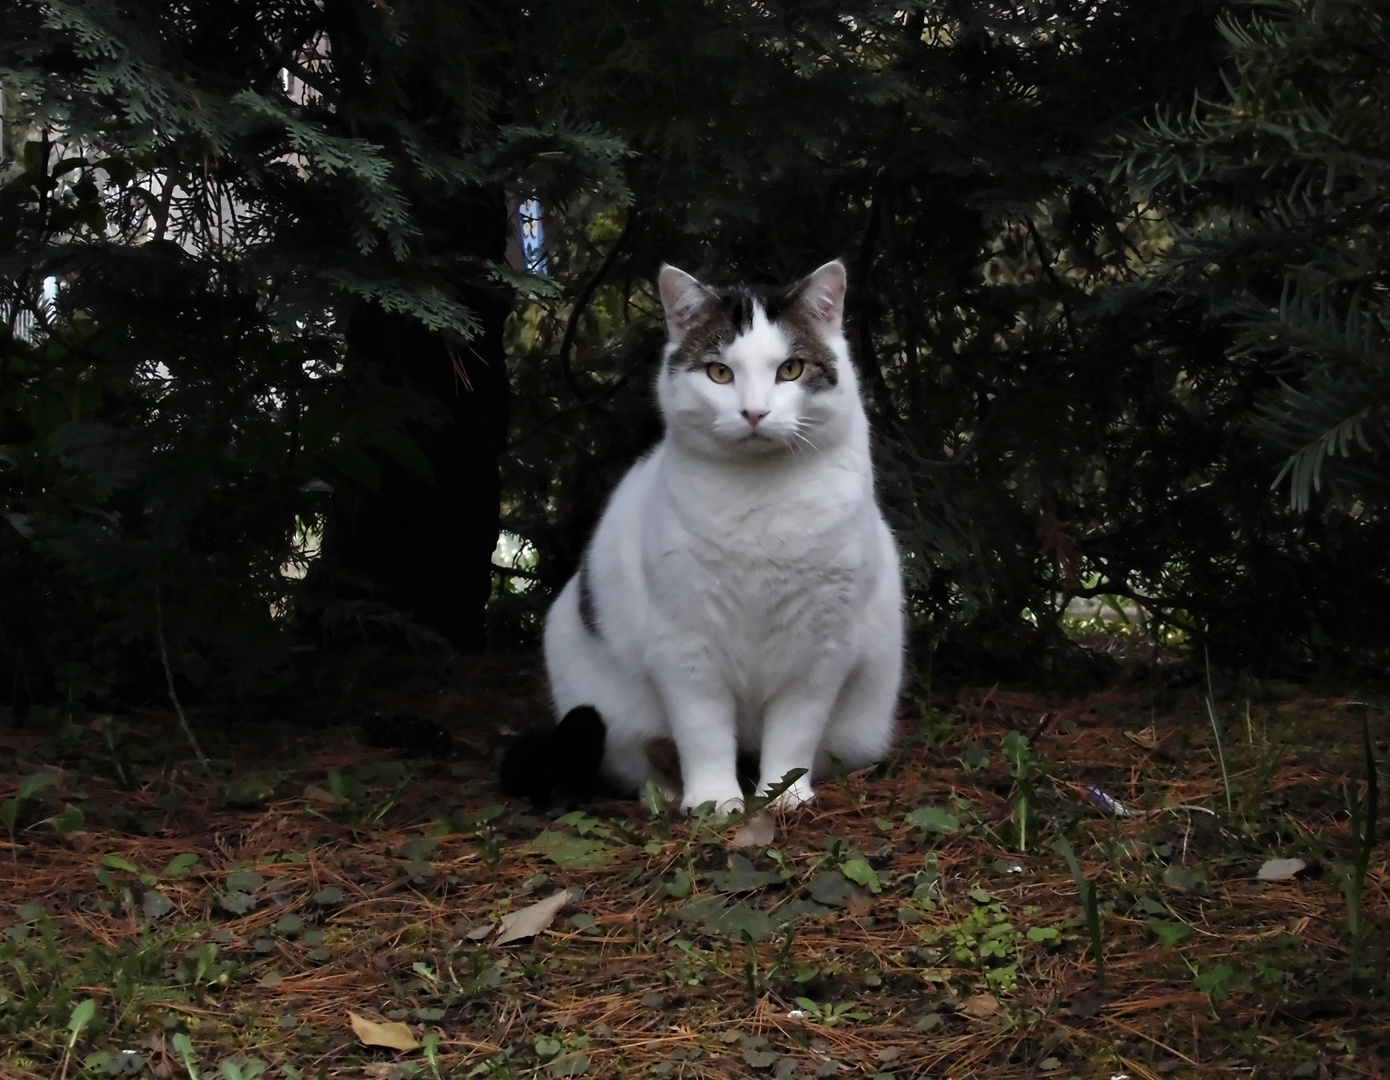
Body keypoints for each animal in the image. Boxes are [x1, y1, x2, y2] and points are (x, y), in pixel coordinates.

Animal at [505, 258, 906, 811]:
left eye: (790, 369)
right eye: (720, 373)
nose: (755, 412)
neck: (761, 499)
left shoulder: (821, 646)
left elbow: (795, 731)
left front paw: (785, 796)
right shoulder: (685, 642)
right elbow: (702, 730)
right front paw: (715, 801)